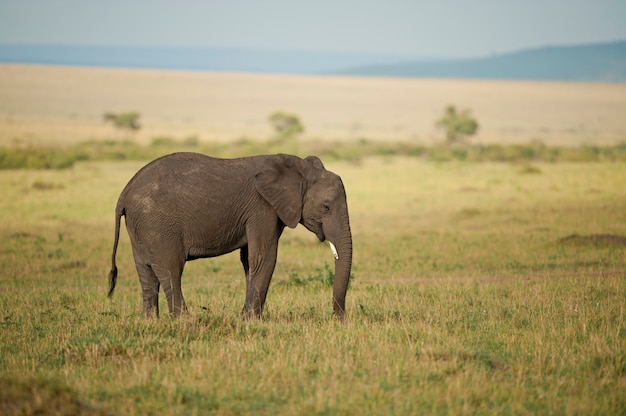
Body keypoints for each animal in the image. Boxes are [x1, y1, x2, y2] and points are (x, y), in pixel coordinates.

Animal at [107, 152, 352, 318]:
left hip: (140, 227)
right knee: (170, 269)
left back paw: (151, 321)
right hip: (157, 224)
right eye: (326, 207)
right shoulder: (262, 207)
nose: (339, 318)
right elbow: (264, 257)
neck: (299, 169)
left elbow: (249, 260)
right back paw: (185, 321)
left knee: (146, 273)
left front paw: (247, 318)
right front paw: (250, 320)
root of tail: (124, 193)